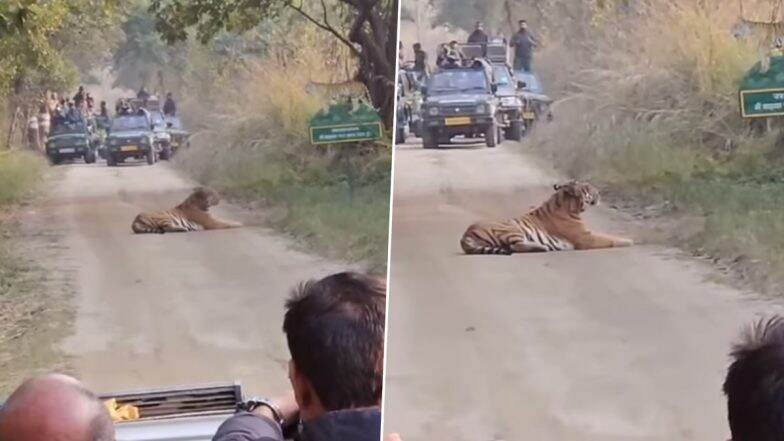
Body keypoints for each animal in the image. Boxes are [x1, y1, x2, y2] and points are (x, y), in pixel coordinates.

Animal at [462, 180, 632, 254]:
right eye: (587, 187)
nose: (599, 192)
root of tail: (465, 235)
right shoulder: (585, 238)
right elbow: (610, 238)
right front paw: (630, 241)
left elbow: (609, 235)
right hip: (511, 228)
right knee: (516, 246)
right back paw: (542, 247)